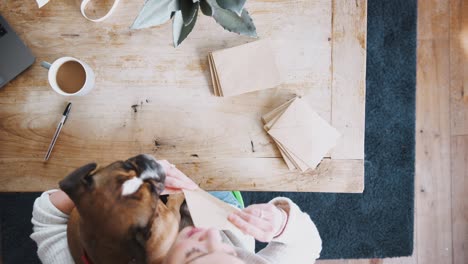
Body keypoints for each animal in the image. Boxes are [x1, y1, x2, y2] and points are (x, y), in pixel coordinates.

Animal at [59, 154, 191, 264]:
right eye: (152, 189)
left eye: (126, 165)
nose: (150, 163)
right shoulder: (172, 218)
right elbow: (174, 203)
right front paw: (179, 194)